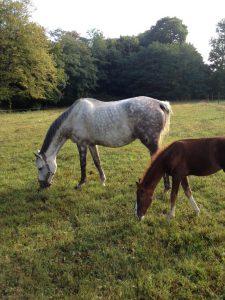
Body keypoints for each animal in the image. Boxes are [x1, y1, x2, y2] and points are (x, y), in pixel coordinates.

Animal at [33, 96, 171, 189]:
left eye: (40, 167)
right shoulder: (91, 144)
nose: (42, 185)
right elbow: (97, 162)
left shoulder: (81, 144)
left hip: (150, 142)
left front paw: (81, 183)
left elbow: (83, 164)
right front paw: (103, 181)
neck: (73, 117)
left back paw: (166, 187)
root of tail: (160, 103)